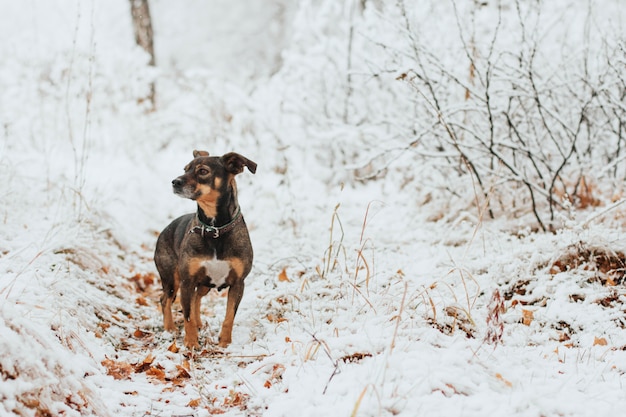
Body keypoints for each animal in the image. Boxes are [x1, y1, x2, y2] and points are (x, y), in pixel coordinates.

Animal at [154, 150, 256, 348]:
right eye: (185, 169)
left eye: (203, 171)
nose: (175, 182)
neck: (214, 229)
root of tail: (164, 230)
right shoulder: (187, 281)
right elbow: (186, 316)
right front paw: (191, 343)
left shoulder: (238, 283)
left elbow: (229, 316)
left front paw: (225, 343)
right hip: (171, 278)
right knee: (165, 299)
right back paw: (170, 329)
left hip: (204, 284)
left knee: (196, 298)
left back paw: (198, 323)